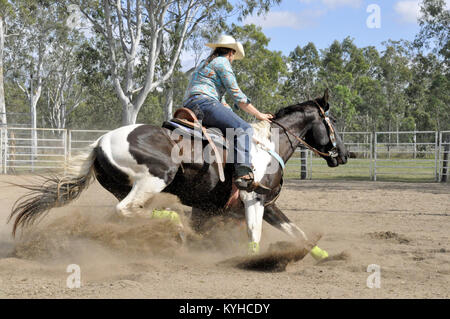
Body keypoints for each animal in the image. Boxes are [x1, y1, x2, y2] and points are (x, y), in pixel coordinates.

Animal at [8, 90, 350, 258]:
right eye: (332, 122)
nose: (344, 155)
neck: (267, 145)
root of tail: (99, 142)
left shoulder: (257, 204)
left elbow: (296, 232)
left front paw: (325, 256)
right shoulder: (253, 198)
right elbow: (255, 233)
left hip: (126, 186)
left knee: (121, 214)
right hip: (156, 178)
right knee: (125, 211)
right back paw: (174, 224)